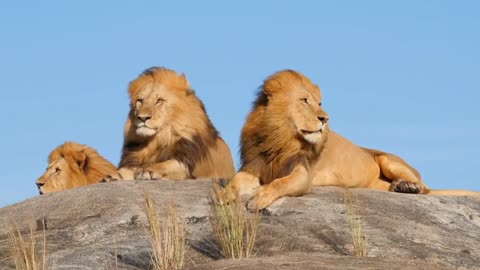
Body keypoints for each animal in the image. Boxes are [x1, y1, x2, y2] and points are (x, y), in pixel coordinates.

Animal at [101, 66, 236, 182]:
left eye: (159, 100)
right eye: (140, 101)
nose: (142, 117)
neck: (158, 139)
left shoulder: (185, 164)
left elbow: (166, 164)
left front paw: (148, 170)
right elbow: (128, 169)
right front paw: (114, 175)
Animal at [222, 69, 480, 211]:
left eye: (320, 103)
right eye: (304, 100)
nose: (325, 118)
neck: (281, 136)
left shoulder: (303, 174)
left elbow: (280, 183)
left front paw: (259, 198)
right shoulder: (255, 165)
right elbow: (235, 182)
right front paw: (223, 196)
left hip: (389, 160)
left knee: (425, 188)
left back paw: (408, 187)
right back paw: (398, 187)